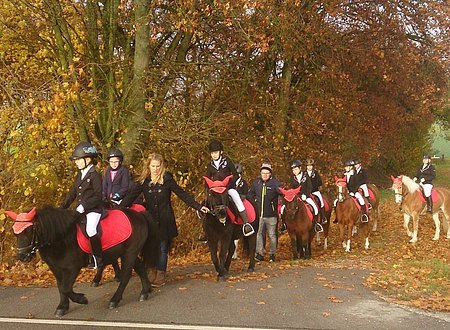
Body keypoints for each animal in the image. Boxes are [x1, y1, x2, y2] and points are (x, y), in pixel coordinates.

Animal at [5, 206, 160, 318]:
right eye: (14, 232)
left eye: (30, 230)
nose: (22, 256)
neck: (62, 236)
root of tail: (139, 215)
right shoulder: (56, 268)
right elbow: (61, 287)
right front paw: (62, 307)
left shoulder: (72, 268)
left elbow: (66, 288)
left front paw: (81, 299)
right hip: (129, 253)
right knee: (140, 268)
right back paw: (145, 292)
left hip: (129, 253)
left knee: (126, 277)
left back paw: (114, 300)